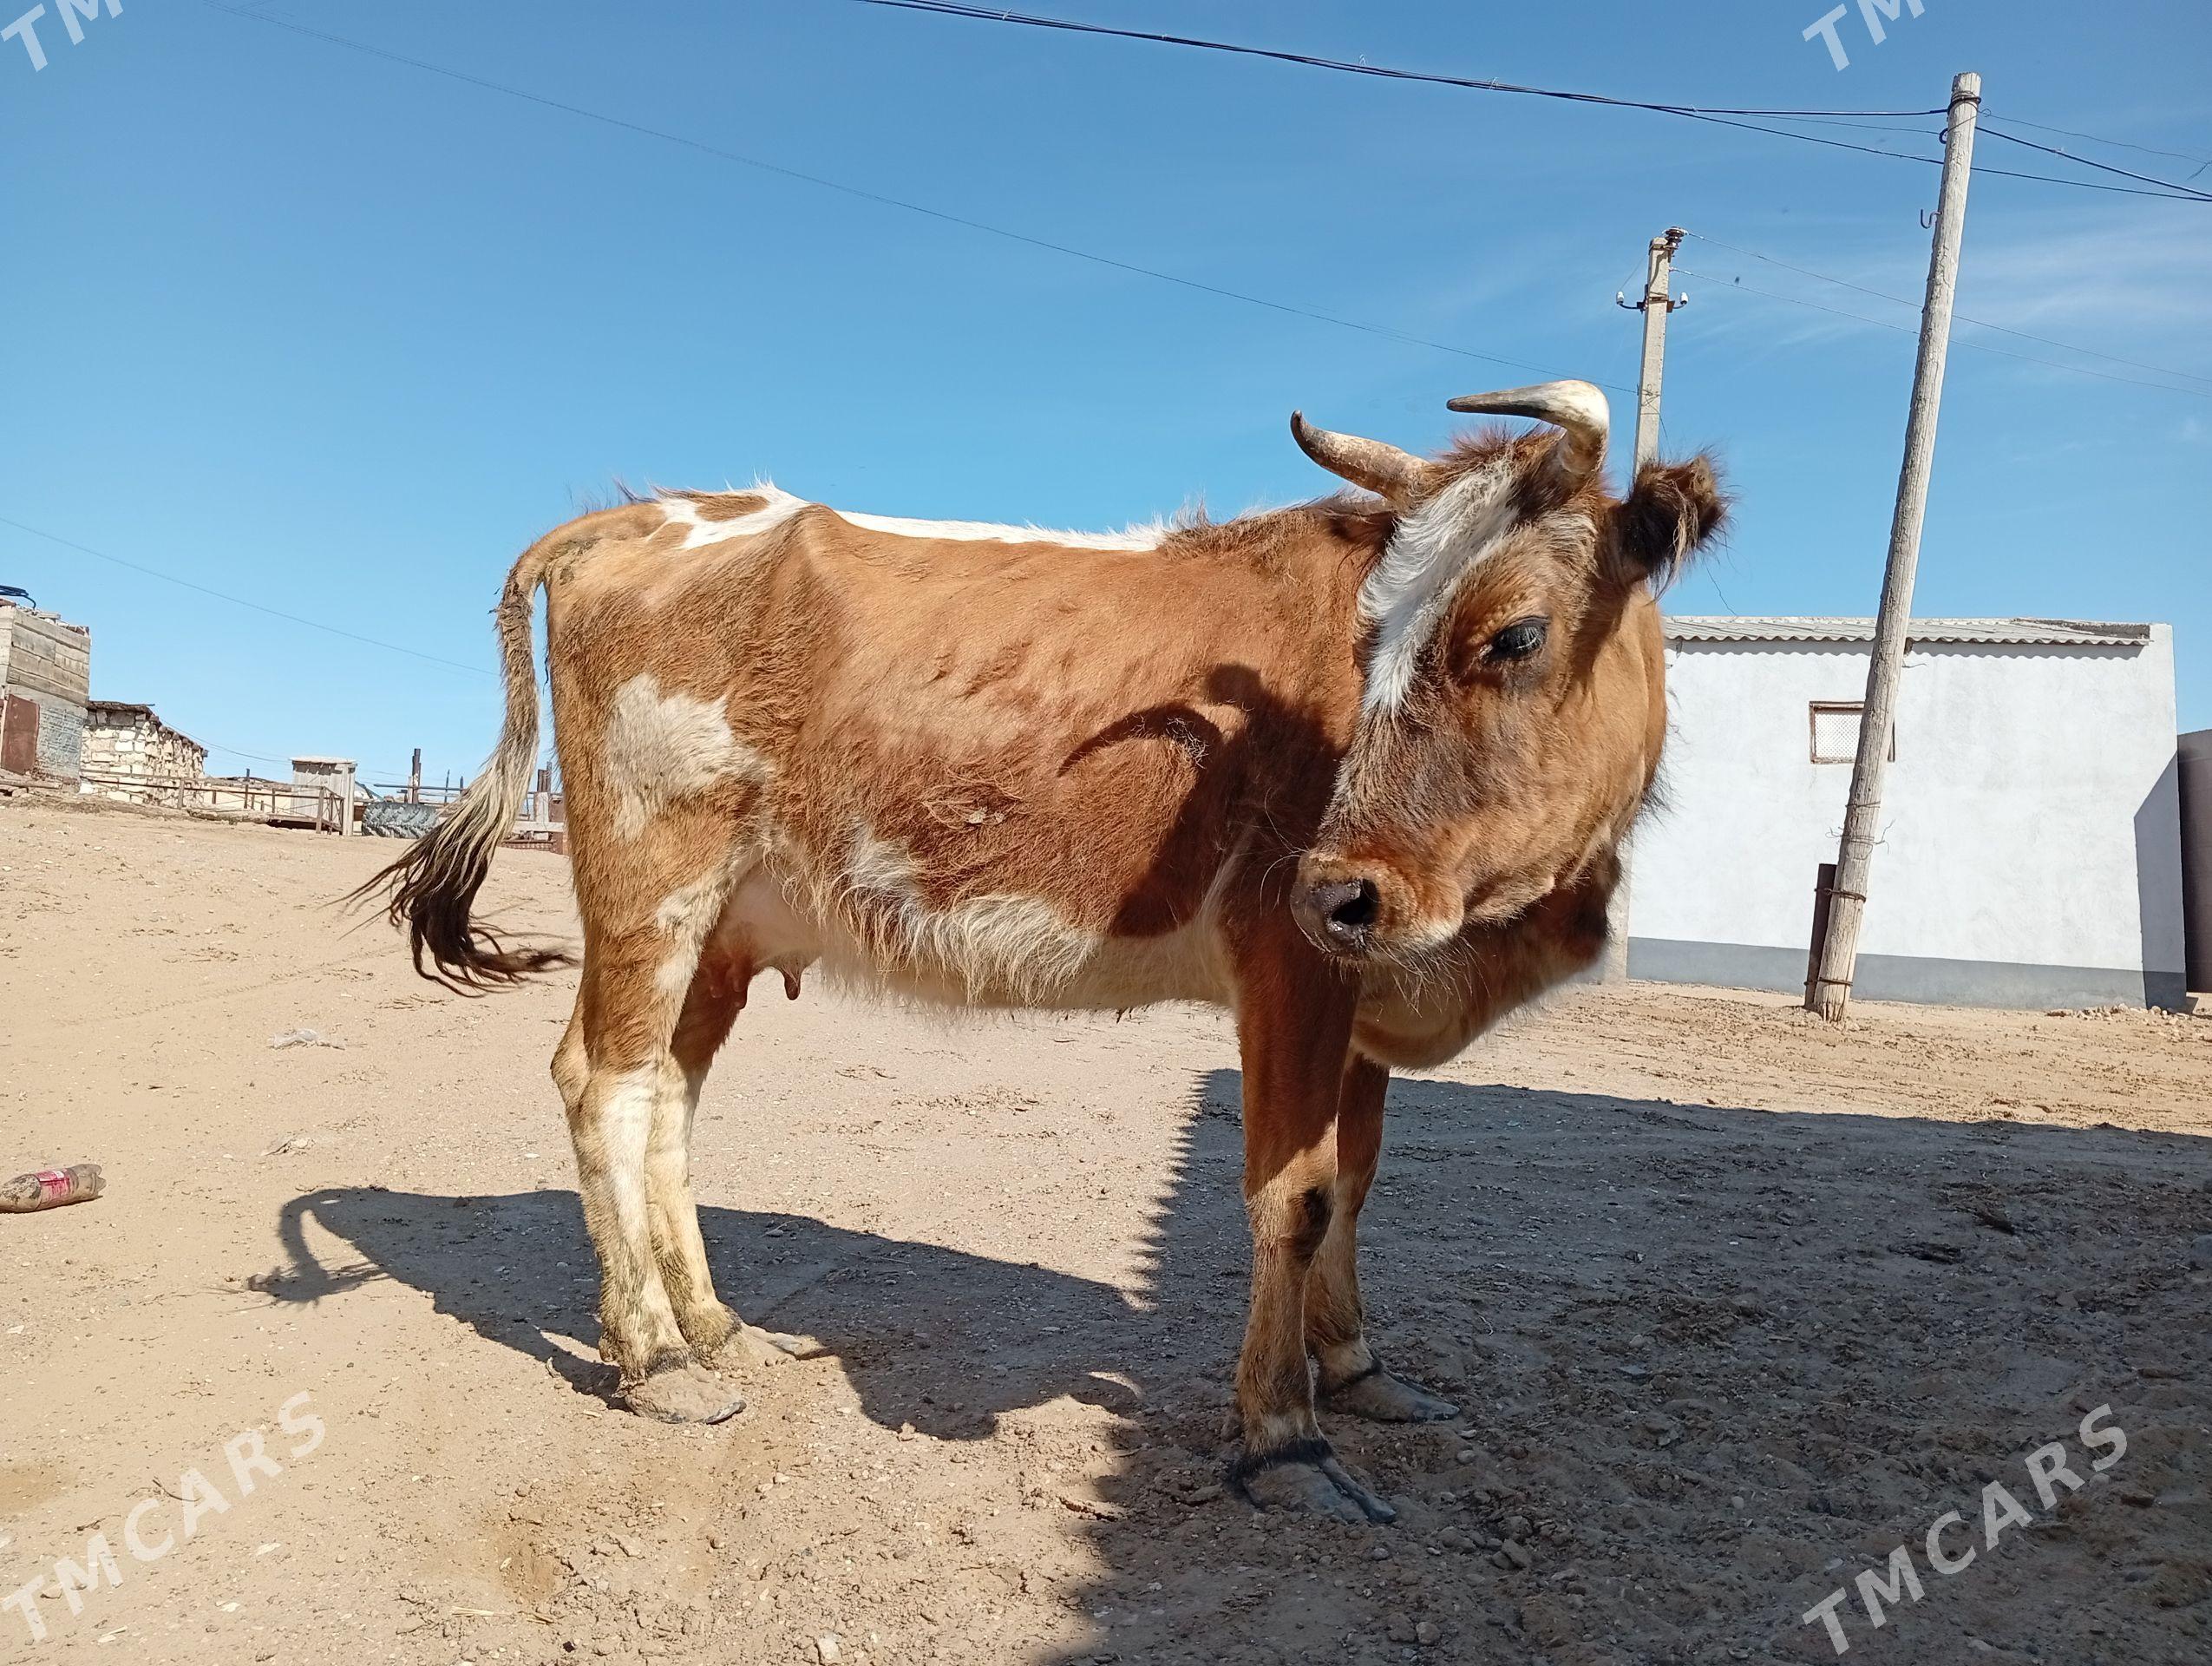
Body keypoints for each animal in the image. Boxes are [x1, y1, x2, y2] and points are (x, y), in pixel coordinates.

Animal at [363, 381, 1723, 1523]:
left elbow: (1358, 1181)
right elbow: (1293, 1194)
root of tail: (644, 516)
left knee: (667, 1101)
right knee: (605, 1086)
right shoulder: (1290, 958)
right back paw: (652, 1357)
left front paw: (1354, 1367)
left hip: (723, 929)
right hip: (653, 878)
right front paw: (1283, 1433)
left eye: (1514, 636)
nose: (1338, 885)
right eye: (1367, 641)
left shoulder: (1364, 976)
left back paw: (712, 1325)